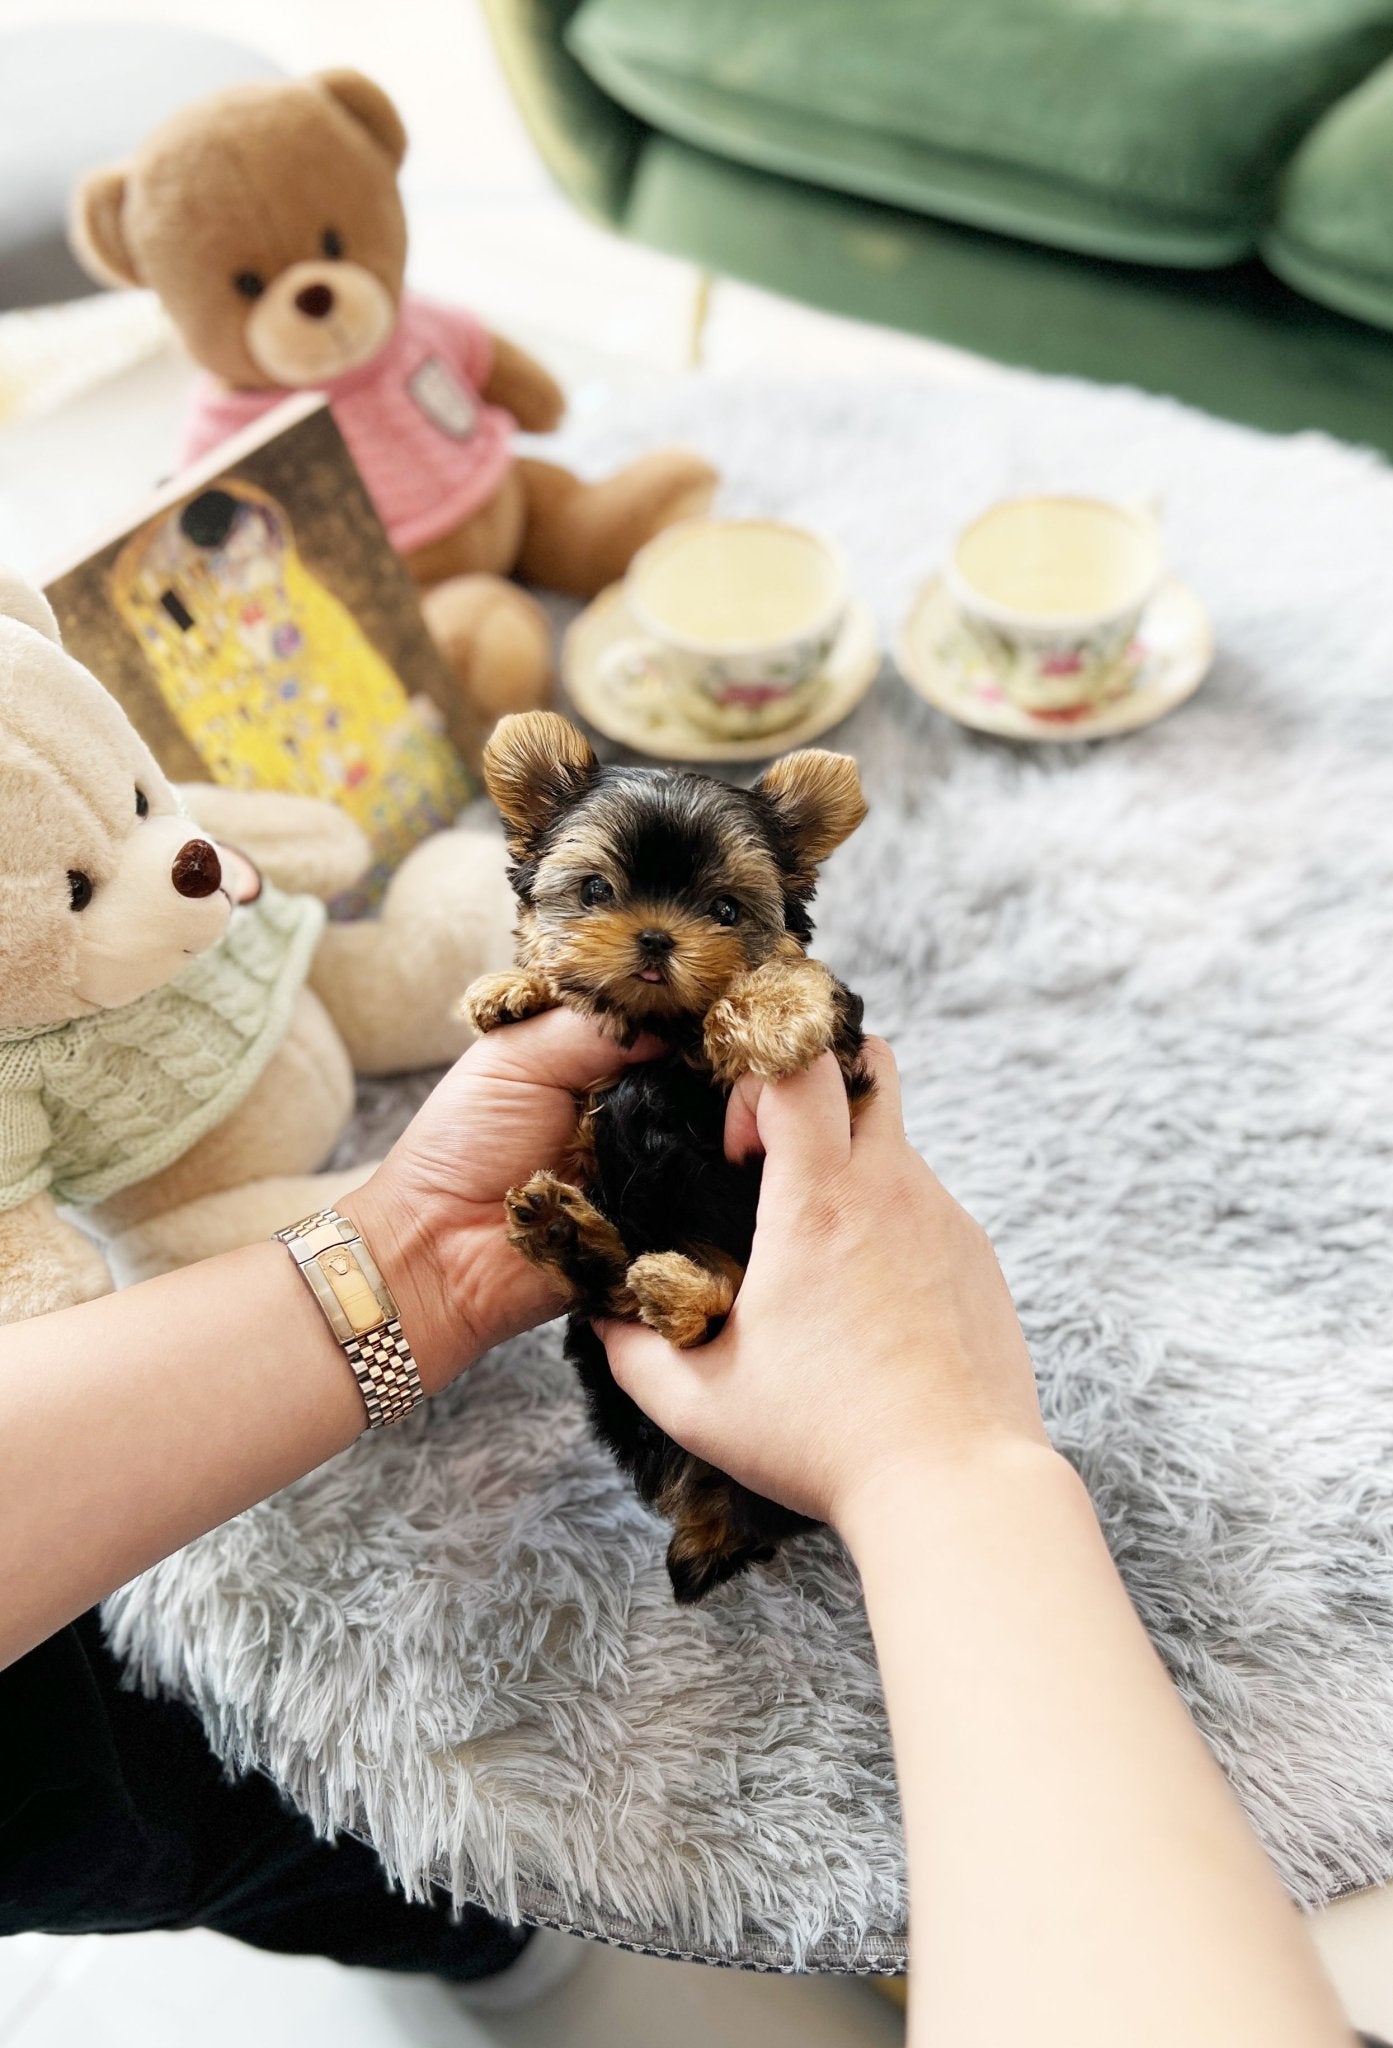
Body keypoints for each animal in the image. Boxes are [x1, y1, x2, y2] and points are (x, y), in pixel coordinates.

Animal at [467, 712, 868, 1605]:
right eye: (594, 892)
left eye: (724, 909)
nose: (655, 938)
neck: (658, 1033)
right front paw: (512, 988)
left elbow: (795, 982)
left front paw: (774, 1011)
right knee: (608, 1289)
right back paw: (567, 1237)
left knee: (707, 1303)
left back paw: (674, 1287)